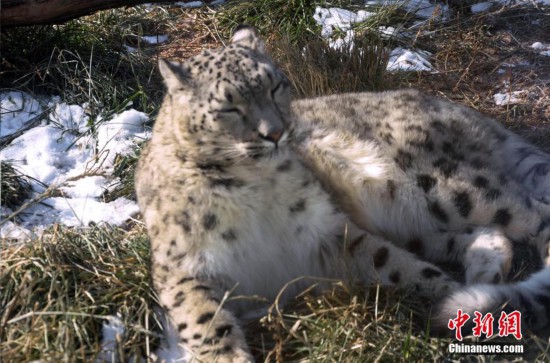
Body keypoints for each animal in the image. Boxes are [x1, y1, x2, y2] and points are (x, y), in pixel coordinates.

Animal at [136, 24, 550, 362]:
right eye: (229, 106)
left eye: (275, 85)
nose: (276, 132)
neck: (253, 193)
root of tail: (459, 109)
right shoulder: (186, 270)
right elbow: (205, 325)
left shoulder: (328, 233)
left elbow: (398, 265)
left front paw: (451, 297)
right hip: (412, 220)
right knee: (486, 234)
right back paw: (485, 273)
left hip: (431, 186)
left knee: (531, 211)